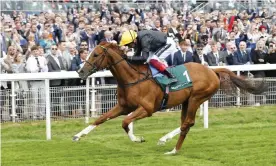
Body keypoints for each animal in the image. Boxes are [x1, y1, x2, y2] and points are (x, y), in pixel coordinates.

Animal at [72, 41, 266, 154]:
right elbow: (101, 119)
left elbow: (125, 122)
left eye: (96, 54)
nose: (80, 71)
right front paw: (78, 136)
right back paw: (167, 143)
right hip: (187, 101)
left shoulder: (147, 109)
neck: (133, 78)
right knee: (184, 123)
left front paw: (138, 139)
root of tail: (212, 71)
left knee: (188, 123)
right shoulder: (123, 107)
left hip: (196, 98)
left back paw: (171, 147)